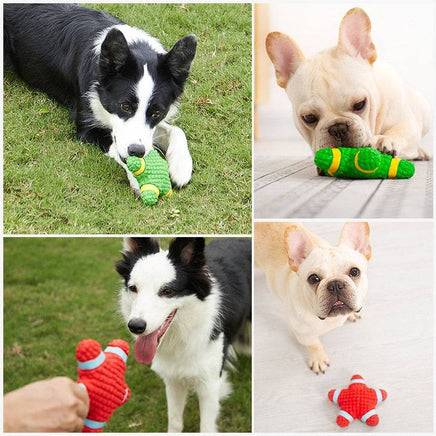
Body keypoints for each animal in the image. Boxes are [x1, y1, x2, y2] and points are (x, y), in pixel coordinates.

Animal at [3, 3, 196, 191]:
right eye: (124, 106)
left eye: (157, 113)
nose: (137, 151)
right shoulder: (86, 126)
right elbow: (115, 146)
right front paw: (138, 179)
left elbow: (176, 130)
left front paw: (181, 166)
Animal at [116, 238, 252, 432]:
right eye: (133, 288)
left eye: (167, 291)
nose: (135, 326)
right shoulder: (173, 380)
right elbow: (174, 420)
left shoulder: (209, 384)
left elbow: (206, 426)